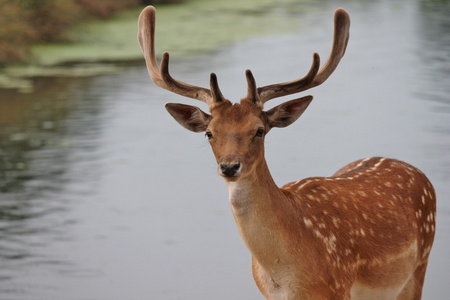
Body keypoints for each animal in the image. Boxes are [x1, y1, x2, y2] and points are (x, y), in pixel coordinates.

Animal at [137, 5, 436, 300]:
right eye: (210, 133)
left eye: (259, 130)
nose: (230, 167)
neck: (285, 274)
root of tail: (416, 171)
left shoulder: (340, 287)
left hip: (419, 266)